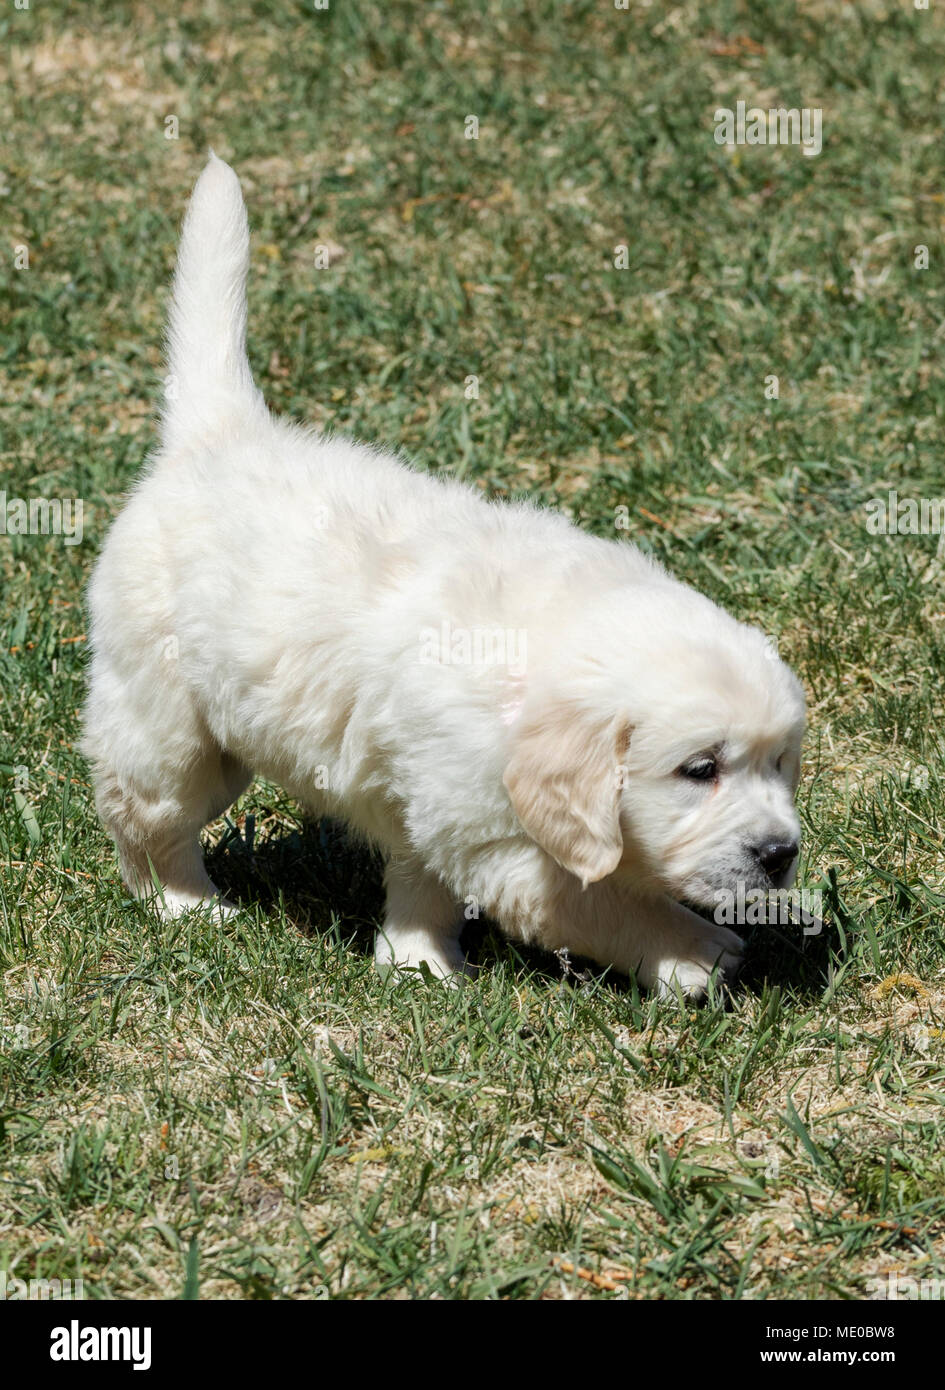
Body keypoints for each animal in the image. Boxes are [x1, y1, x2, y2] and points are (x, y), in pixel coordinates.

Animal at [83, 154, 806, 1000]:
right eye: (699, 770)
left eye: (780, 762)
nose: (779, 854)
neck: (544, 671)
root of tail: (219, 435)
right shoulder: (499, 840)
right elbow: (598, 904)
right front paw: (696, 951)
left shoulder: (434, 808)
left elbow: (421, 879)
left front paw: (414, 959)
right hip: (169, 721)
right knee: (147, 815)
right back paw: (185, 904)